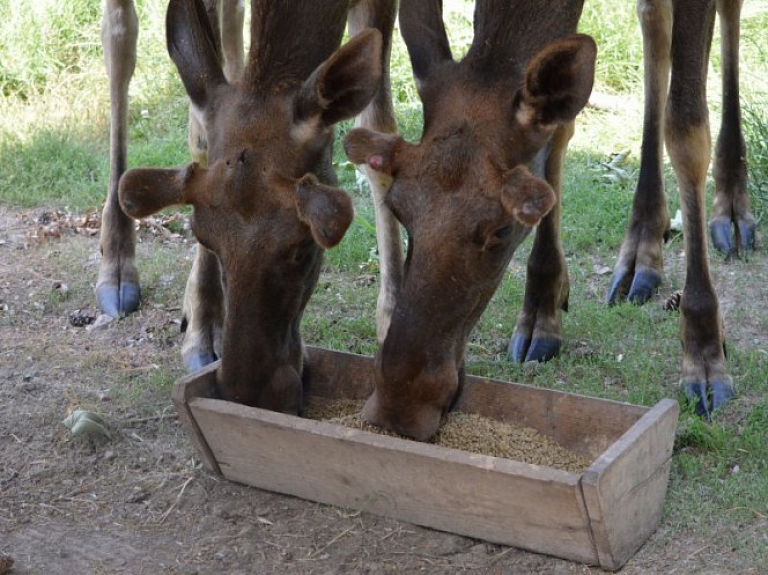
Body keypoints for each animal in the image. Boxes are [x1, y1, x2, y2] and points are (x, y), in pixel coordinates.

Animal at [112, 0, 400, 414]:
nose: (246, 391)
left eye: (303, 248)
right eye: (204, 237)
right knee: (122, 39)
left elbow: (379, 132)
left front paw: (392, 331)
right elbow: (200, 136)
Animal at [344, 0, 748, 438]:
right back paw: (643, 248)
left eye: (502, 228)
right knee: (653, 18)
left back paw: (732, 209)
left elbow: (687, 132)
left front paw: (704, 357)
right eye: (398, 207)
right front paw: (541, 310)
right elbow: (560, 128)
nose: (399, 405)